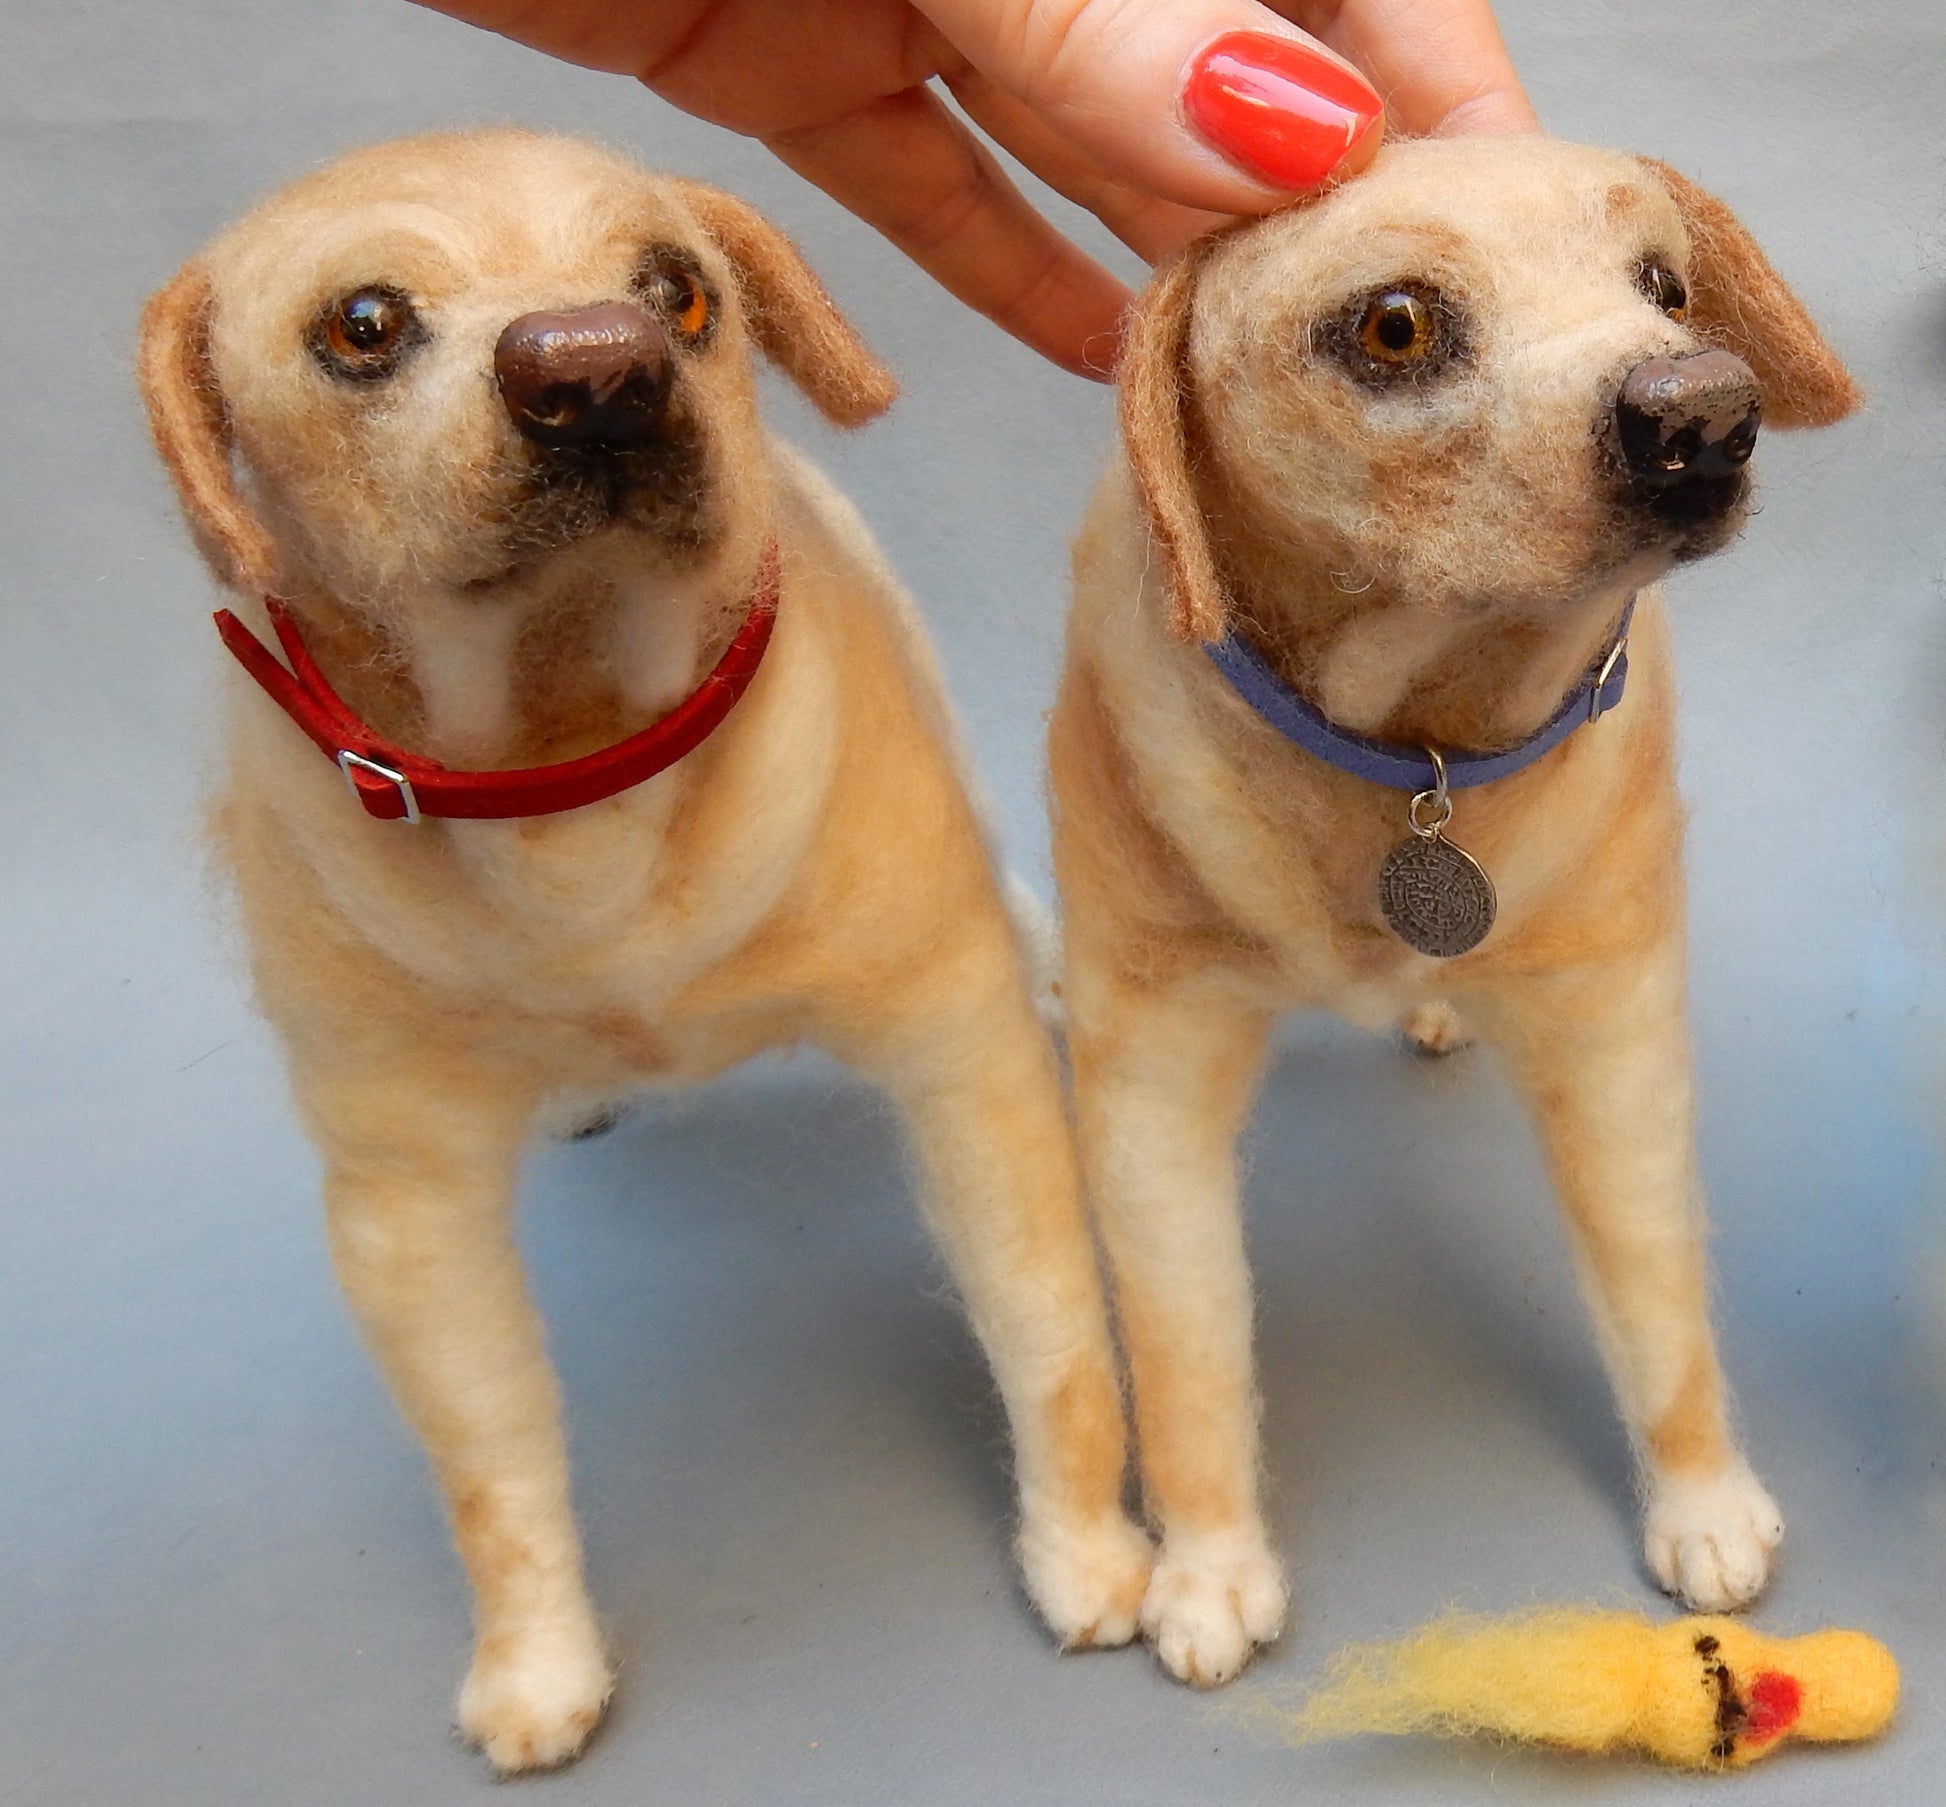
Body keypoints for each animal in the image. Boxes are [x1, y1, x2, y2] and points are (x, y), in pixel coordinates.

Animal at [144, 130, 1144, 1773]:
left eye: (675, 290)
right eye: (363, 322)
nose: (597, 367)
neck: (572, 749)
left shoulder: (962, 1060)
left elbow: (1046, 1325)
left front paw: (1086, 1550)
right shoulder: (402, 1204)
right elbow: (491, 1466)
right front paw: (535, 1657)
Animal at [1050, 137, 1852, 1696]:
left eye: (1662, 285)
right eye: (1395, 325)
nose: (1705, 411)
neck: (1409, 745)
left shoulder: (1614, 1039)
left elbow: (1659, 1305)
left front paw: (1700, 1496)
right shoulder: (1152, 1083)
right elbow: (1184, 1356)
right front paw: (1206, 1561)